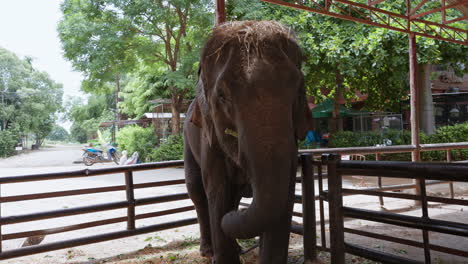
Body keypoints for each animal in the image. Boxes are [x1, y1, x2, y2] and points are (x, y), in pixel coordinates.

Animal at [185, 21, 312, 264]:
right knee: (197, 191)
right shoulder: (209, 140)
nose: (238, 215)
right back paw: (208, 250)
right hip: (187, 141)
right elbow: (218, 191)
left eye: (299, 89)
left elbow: (284, 196)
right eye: (222, 96)